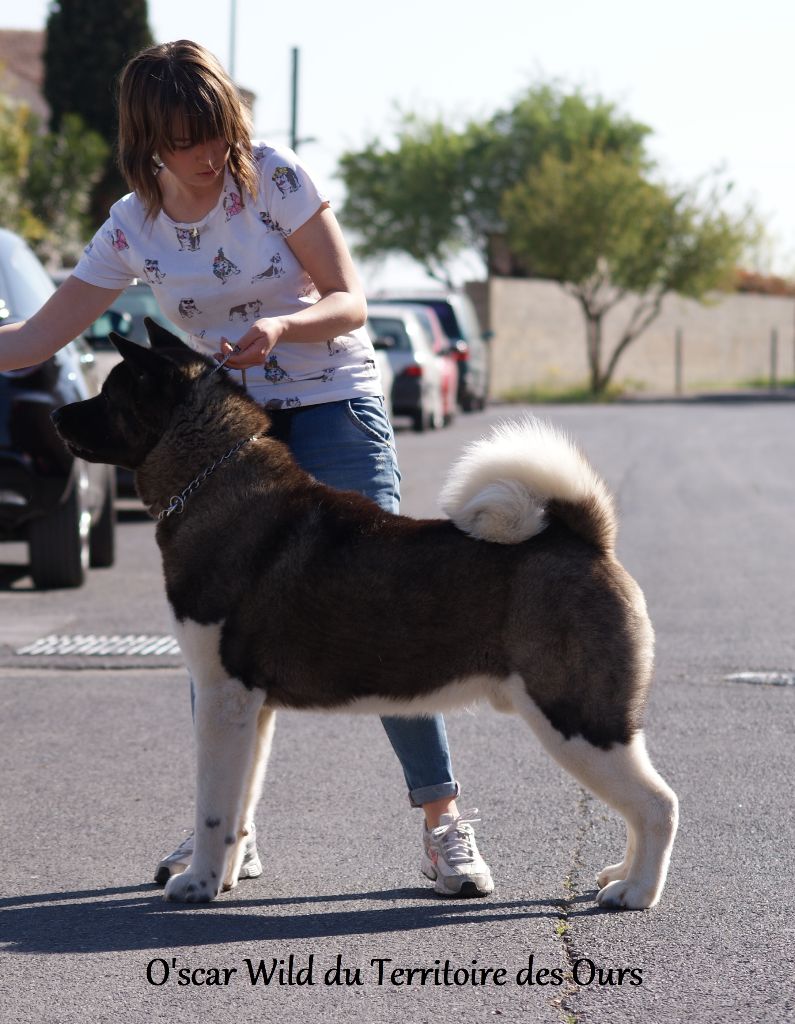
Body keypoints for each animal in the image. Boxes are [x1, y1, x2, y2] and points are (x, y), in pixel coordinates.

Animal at [52, 319, 678, 909]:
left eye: (109, 393)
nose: (57, 412)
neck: (211, 481)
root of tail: (586, 539)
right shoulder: (250, 709)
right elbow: (238, 807)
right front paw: (223, 877)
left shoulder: (221, 697)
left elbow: (212, 808)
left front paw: (197, 884)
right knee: (643, 803)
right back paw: (620, 875)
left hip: (577, 719)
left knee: (657, 804)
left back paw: (635, 893)